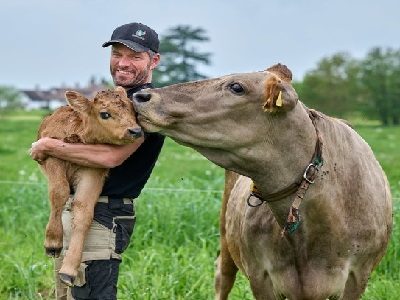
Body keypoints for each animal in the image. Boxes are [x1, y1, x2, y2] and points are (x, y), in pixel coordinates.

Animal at [132, 65, 394, 300]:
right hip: (225, 236)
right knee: (222, 276)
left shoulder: (357, 277)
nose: (143, 95)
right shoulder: (260, 275)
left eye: (236, 87)